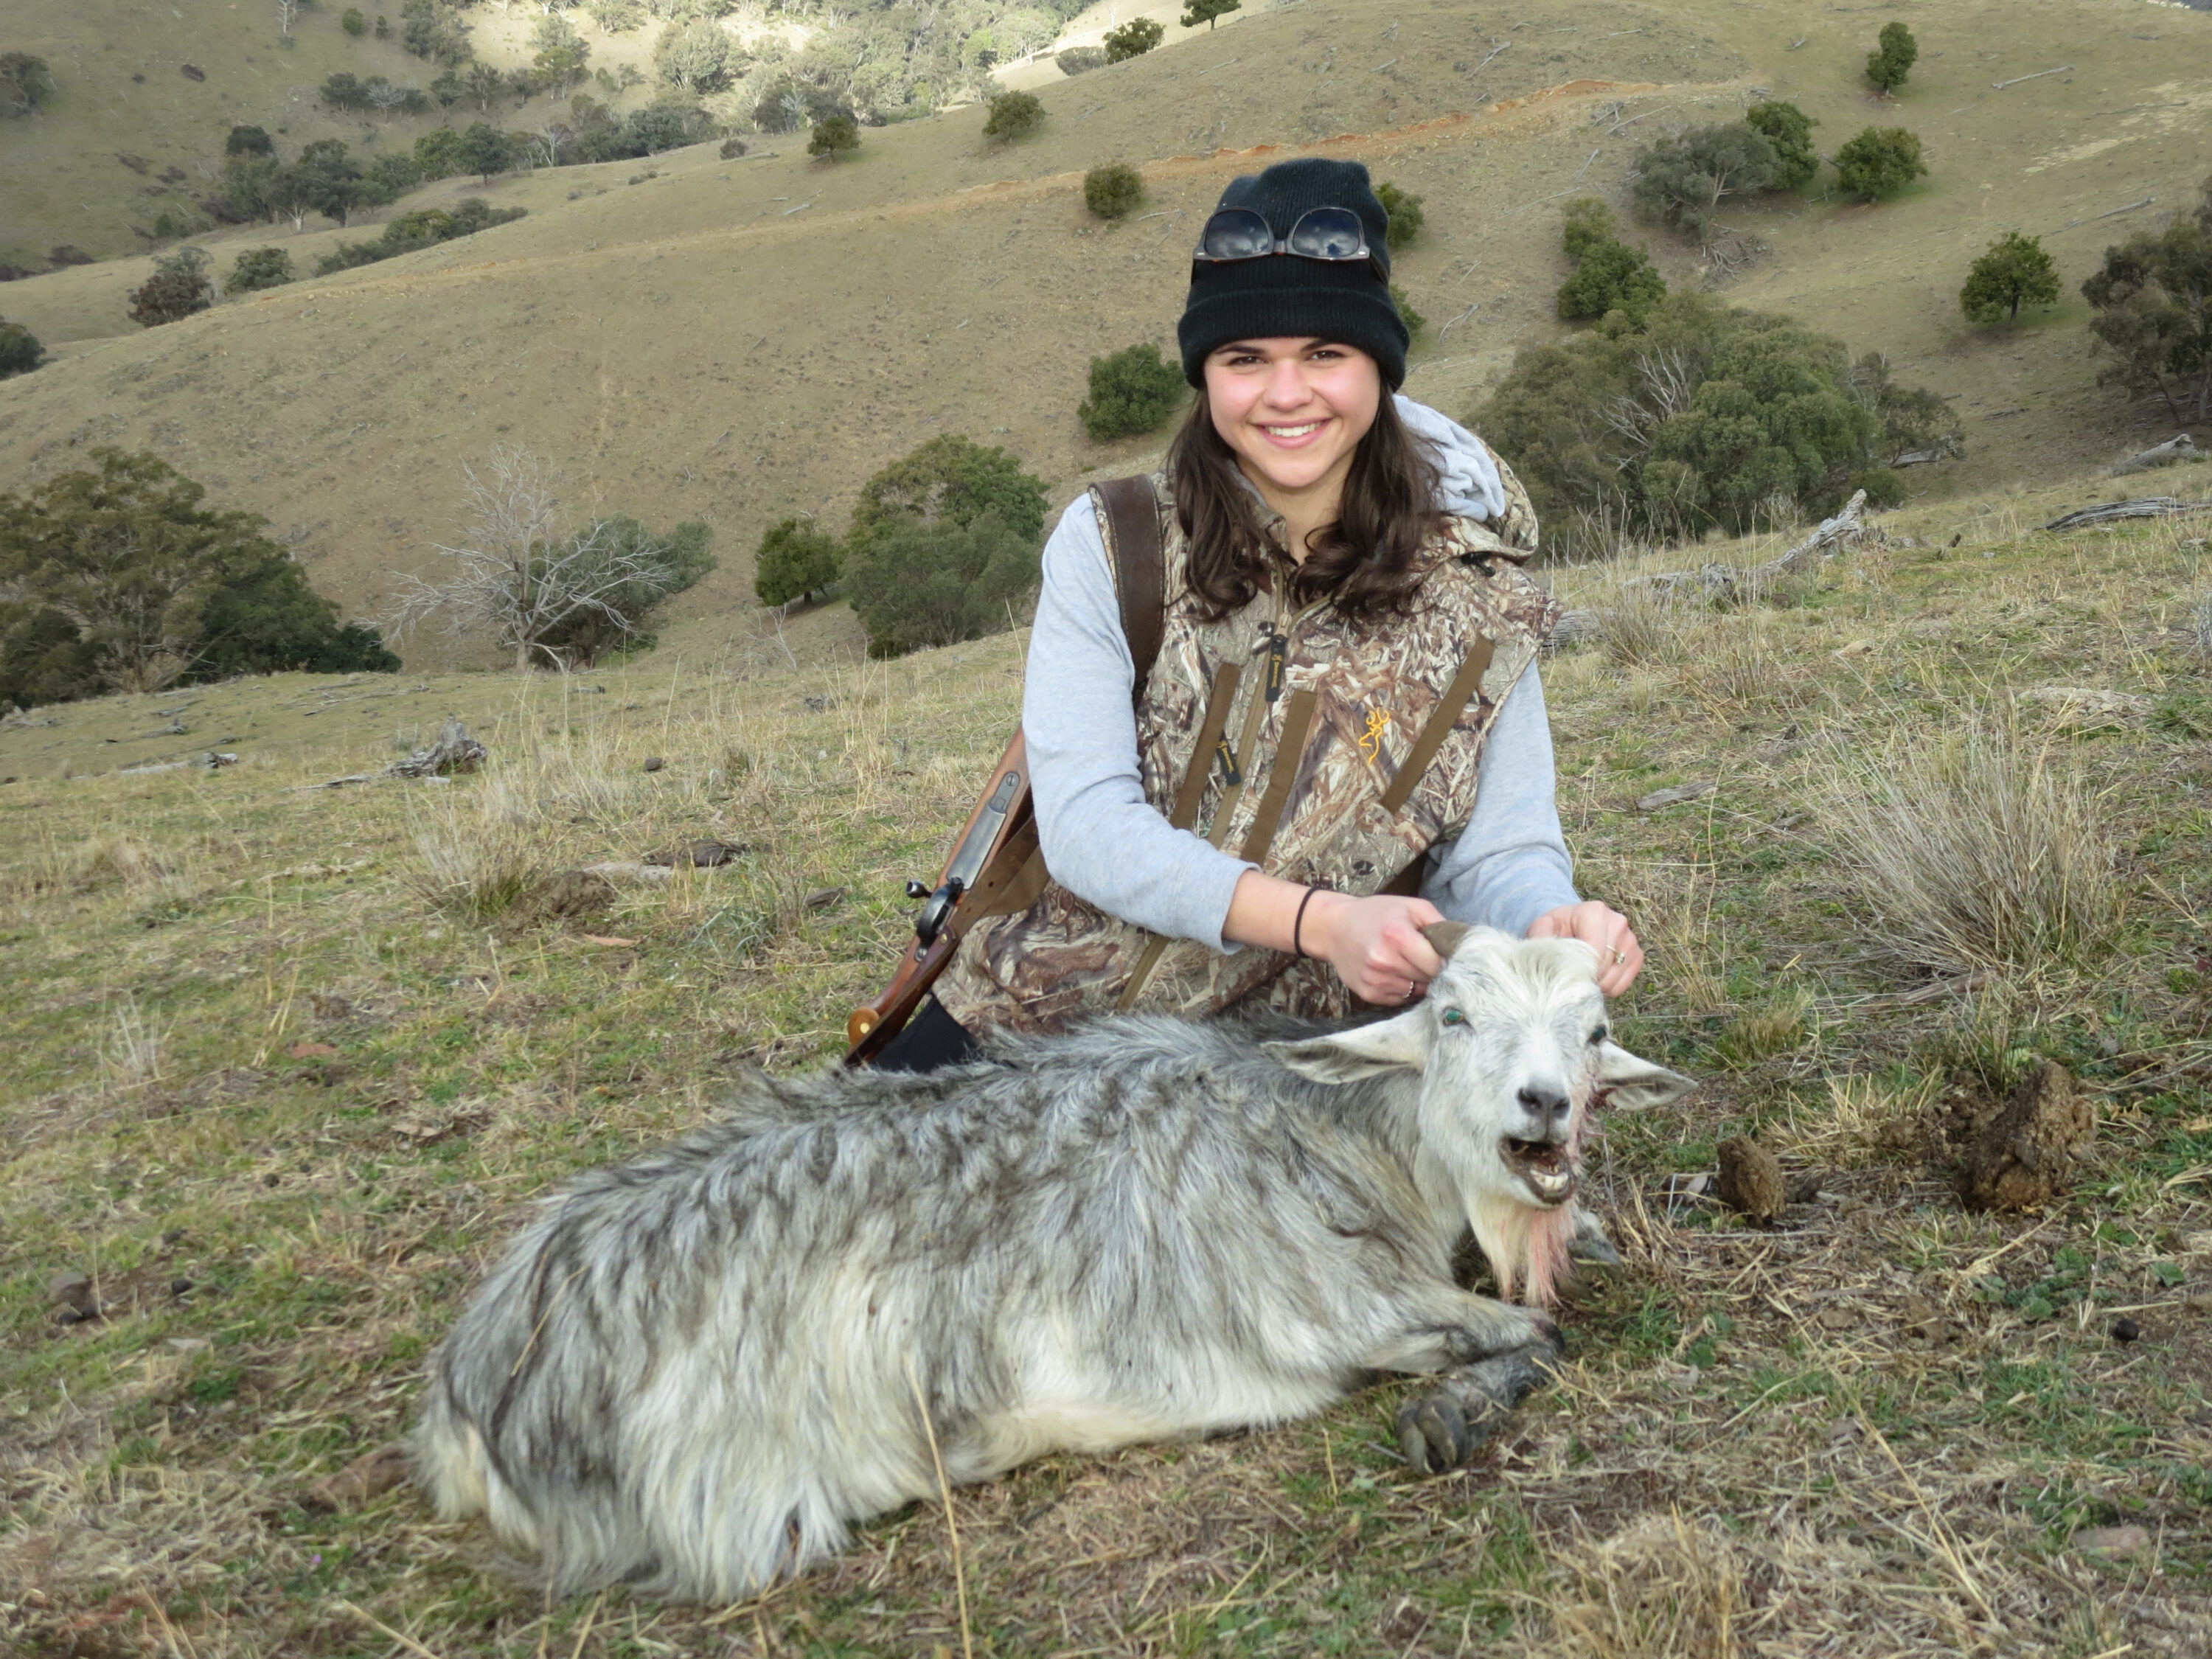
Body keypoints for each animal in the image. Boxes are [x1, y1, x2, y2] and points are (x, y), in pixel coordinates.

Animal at [416, 929, 1690, 1601]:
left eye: (1592, 1030)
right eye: (1453, 1016)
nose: (1546, 1105)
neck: (1334, 1129)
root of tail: (472, 1382)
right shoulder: (1344, 1305)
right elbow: (1538, 1332)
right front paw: (1446, 1417)